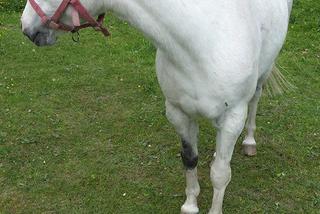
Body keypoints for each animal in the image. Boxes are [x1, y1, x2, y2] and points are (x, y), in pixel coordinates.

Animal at [21, 0, 294, 213]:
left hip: (261, 76)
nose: (26, 26)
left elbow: (219, 175)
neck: (201, 41)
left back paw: (249, 142)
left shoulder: (233, 116)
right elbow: (190, 159)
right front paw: (190, 205)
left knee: (255, 100)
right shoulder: (178, 112)